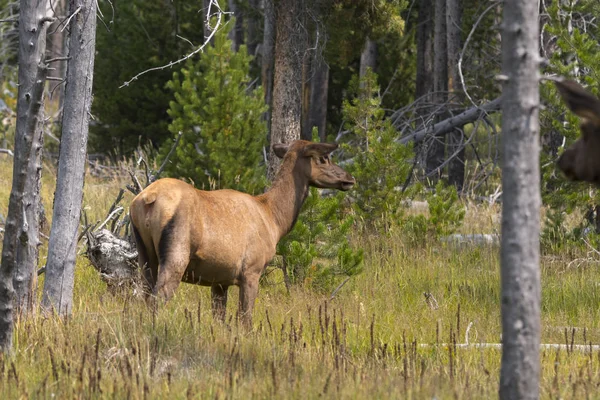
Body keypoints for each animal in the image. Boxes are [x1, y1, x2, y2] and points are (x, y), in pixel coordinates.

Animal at [129, 141, 354, 328]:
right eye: (324, 158)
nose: (350, 178)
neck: (274, 220)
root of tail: (147, 199)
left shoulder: (220, 280)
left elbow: (220, 319)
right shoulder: (251, 271)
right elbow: (245, 320)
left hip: (144, 254)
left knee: (144, 296)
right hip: (176, 252)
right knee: (157, 299)